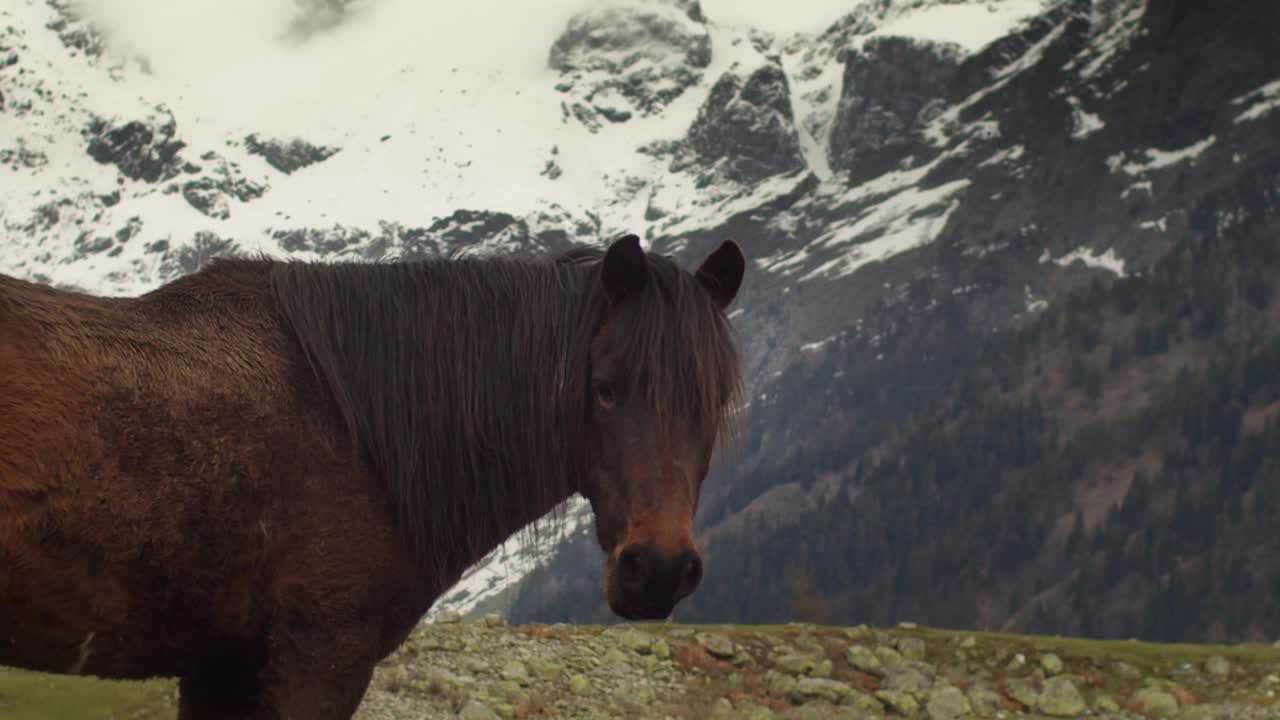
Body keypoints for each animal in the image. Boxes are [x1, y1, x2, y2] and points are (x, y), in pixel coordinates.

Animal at [0, 234, 747, 712]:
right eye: (605, 388)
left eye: (714, 399)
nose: (657, 571)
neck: (354, 426)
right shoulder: (320, 654)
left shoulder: (220, 664)